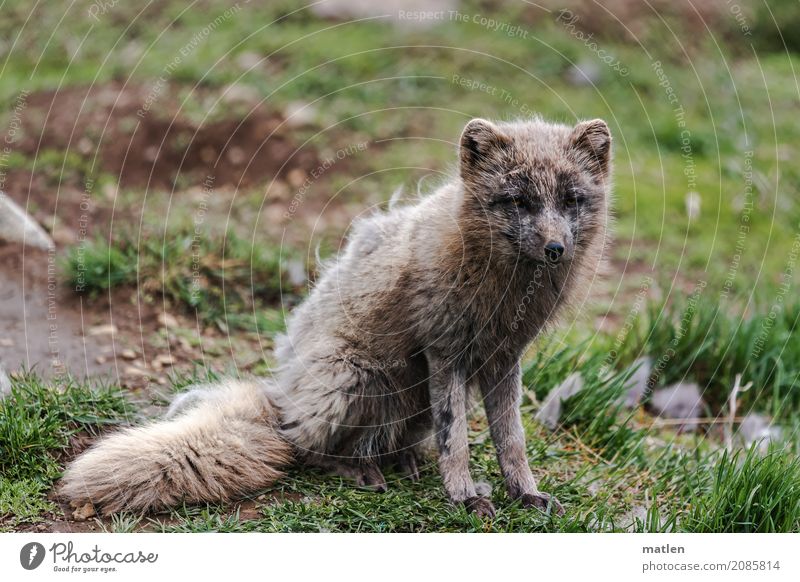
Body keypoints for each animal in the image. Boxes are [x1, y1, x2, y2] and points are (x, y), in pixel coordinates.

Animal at [61, 116, 612, 516]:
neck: (506, 291)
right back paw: (361, 472)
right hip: (357, 377)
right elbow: (455, 439)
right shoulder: (446, 354)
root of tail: (281, 398)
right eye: (518, 201)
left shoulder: (504, 359)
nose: (556, 249)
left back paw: (401, 461)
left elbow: (512, 441)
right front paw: (464, 497)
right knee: (307, 450)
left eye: (571, 200)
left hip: (408, 400)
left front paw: (524, 493)